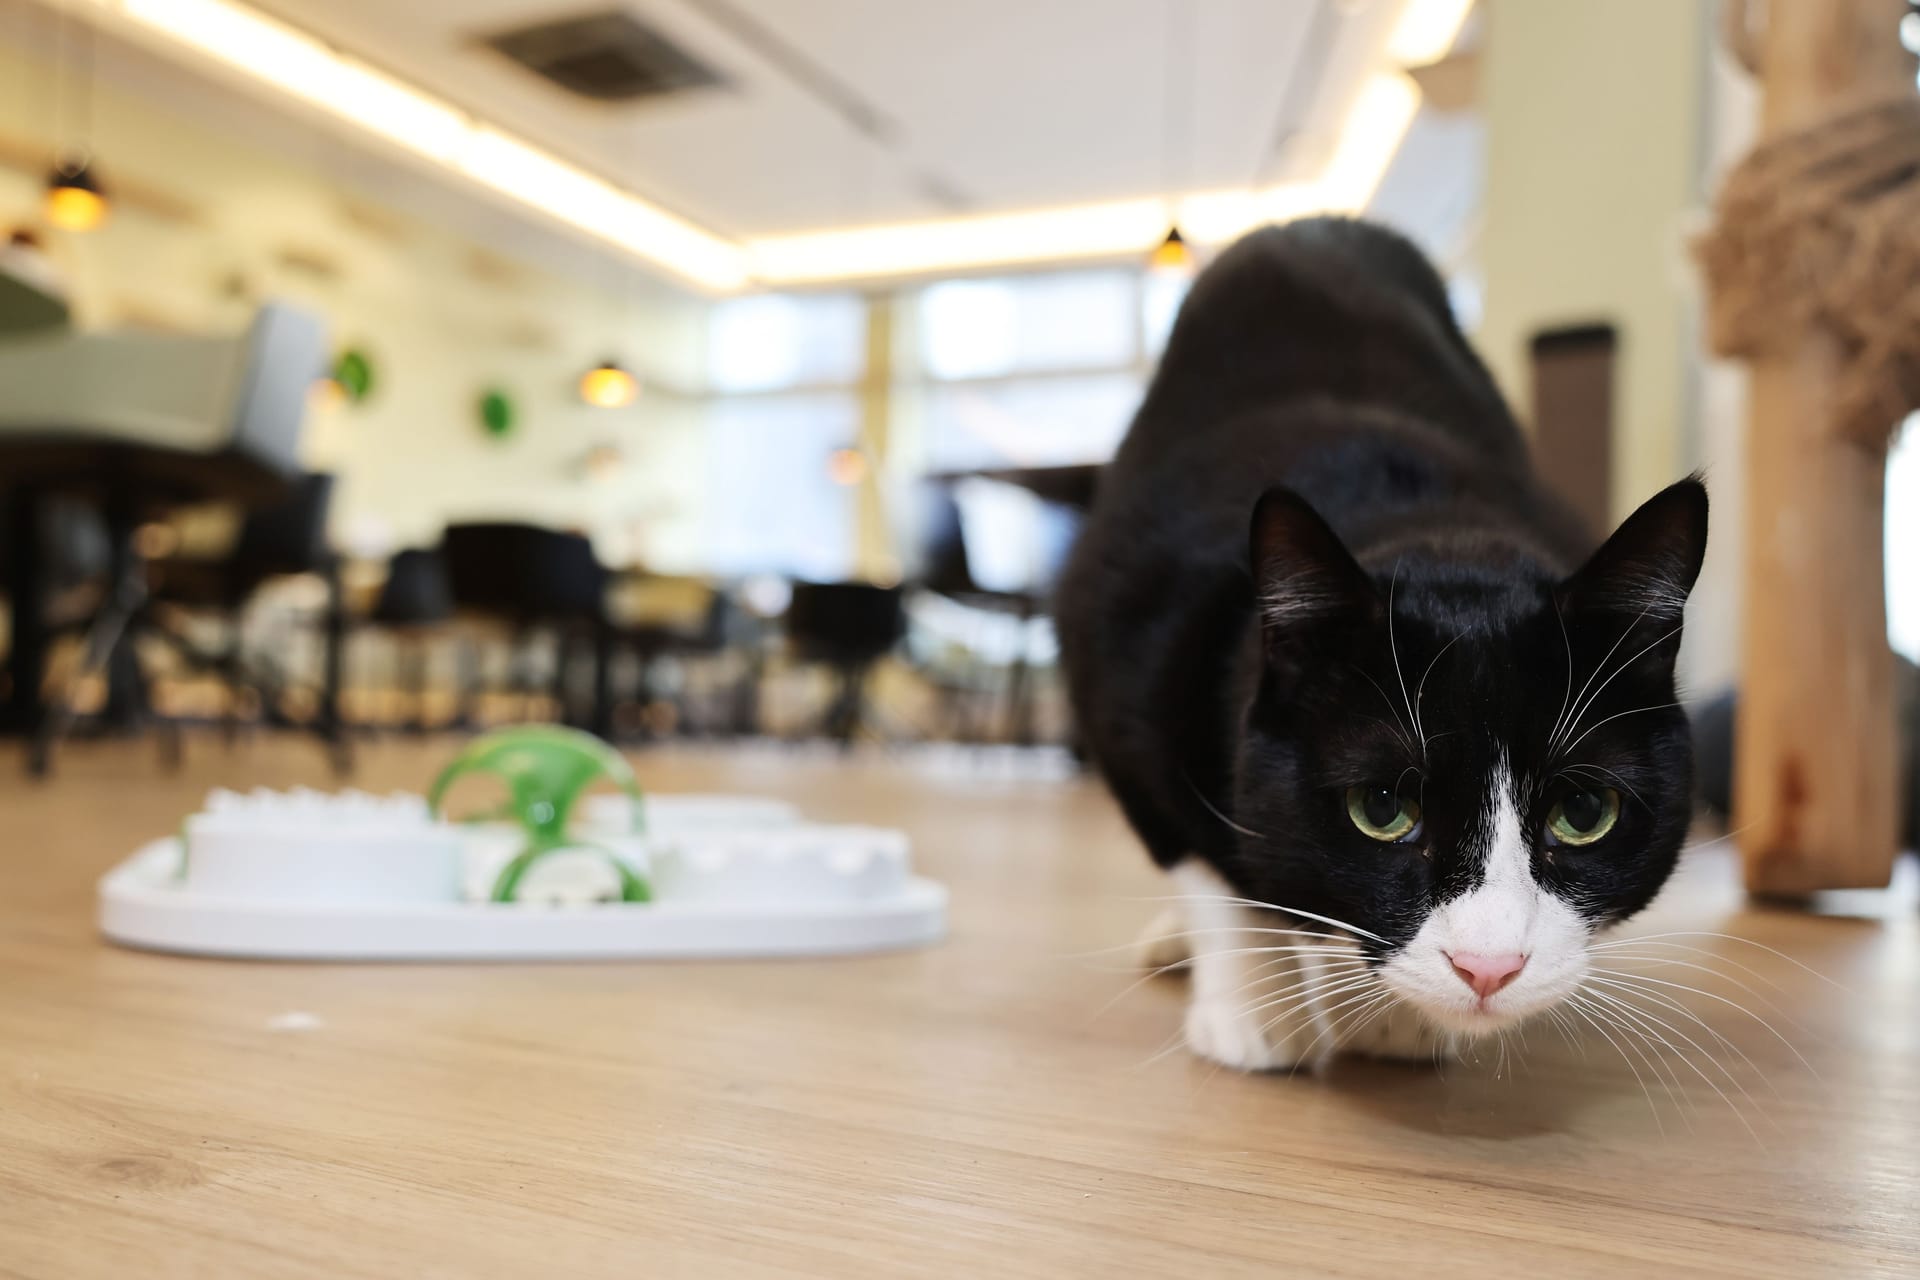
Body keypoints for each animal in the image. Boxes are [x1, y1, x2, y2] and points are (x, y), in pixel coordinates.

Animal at [1059, 220, 1704, 1074]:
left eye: (1584, 812)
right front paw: (1258, 1009)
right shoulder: (1121, 654)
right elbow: (1204, 857)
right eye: (1383, 809)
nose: (1488, 967)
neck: (1427, 521)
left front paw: (1393, 1022)